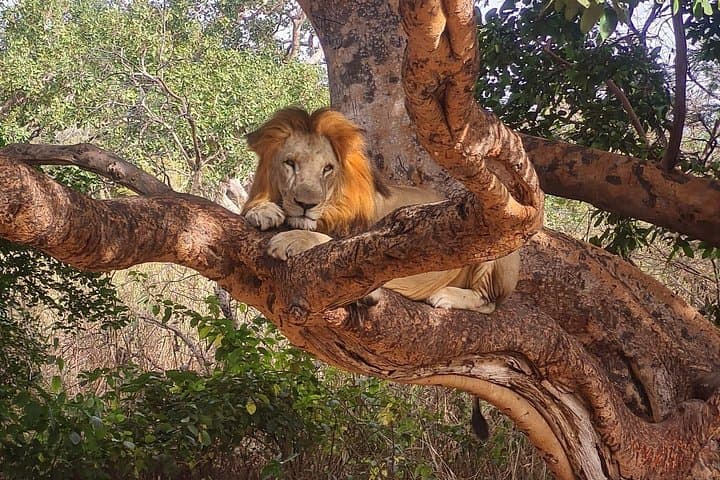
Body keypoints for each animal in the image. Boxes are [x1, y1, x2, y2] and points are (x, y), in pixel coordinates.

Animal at [242, 106, 520, 315]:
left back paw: (445, 296)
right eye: (290, 163)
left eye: (327, 169)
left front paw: (292, 240)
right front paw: (263, 211)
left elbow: (329, 241)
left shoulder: (367, 244)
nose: (305, 204)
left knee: (488, 302)